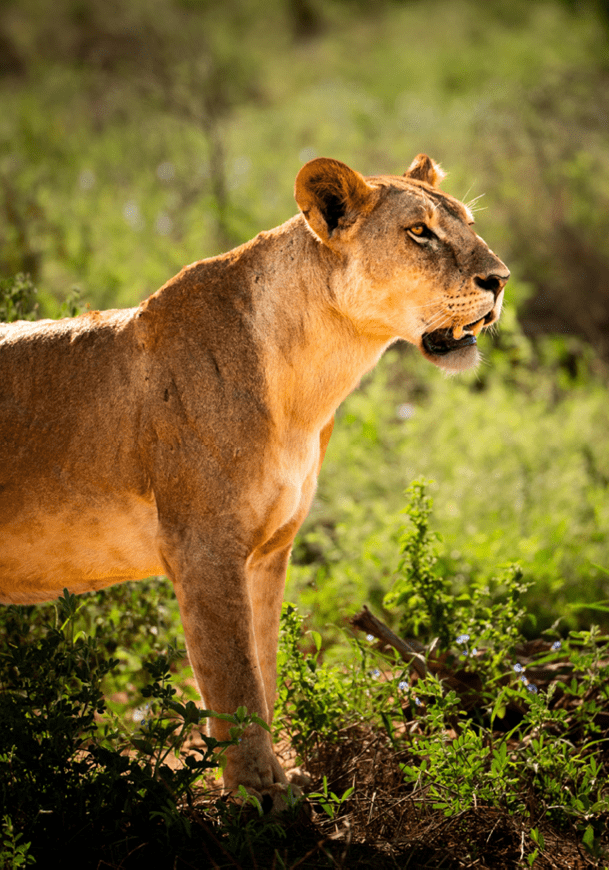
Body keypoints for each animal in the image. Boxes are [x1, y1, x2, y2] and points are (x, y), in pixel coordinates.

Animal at [0, 154, 508, 809]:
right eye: (419, 231)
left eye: (468, 222)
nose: (500, 280)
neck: (309, 386)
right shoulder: (203, 547)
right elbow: (233, 678)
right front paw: (258, 796)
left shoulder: (269, 552)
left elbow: (262, 664)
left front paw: (281, 778)